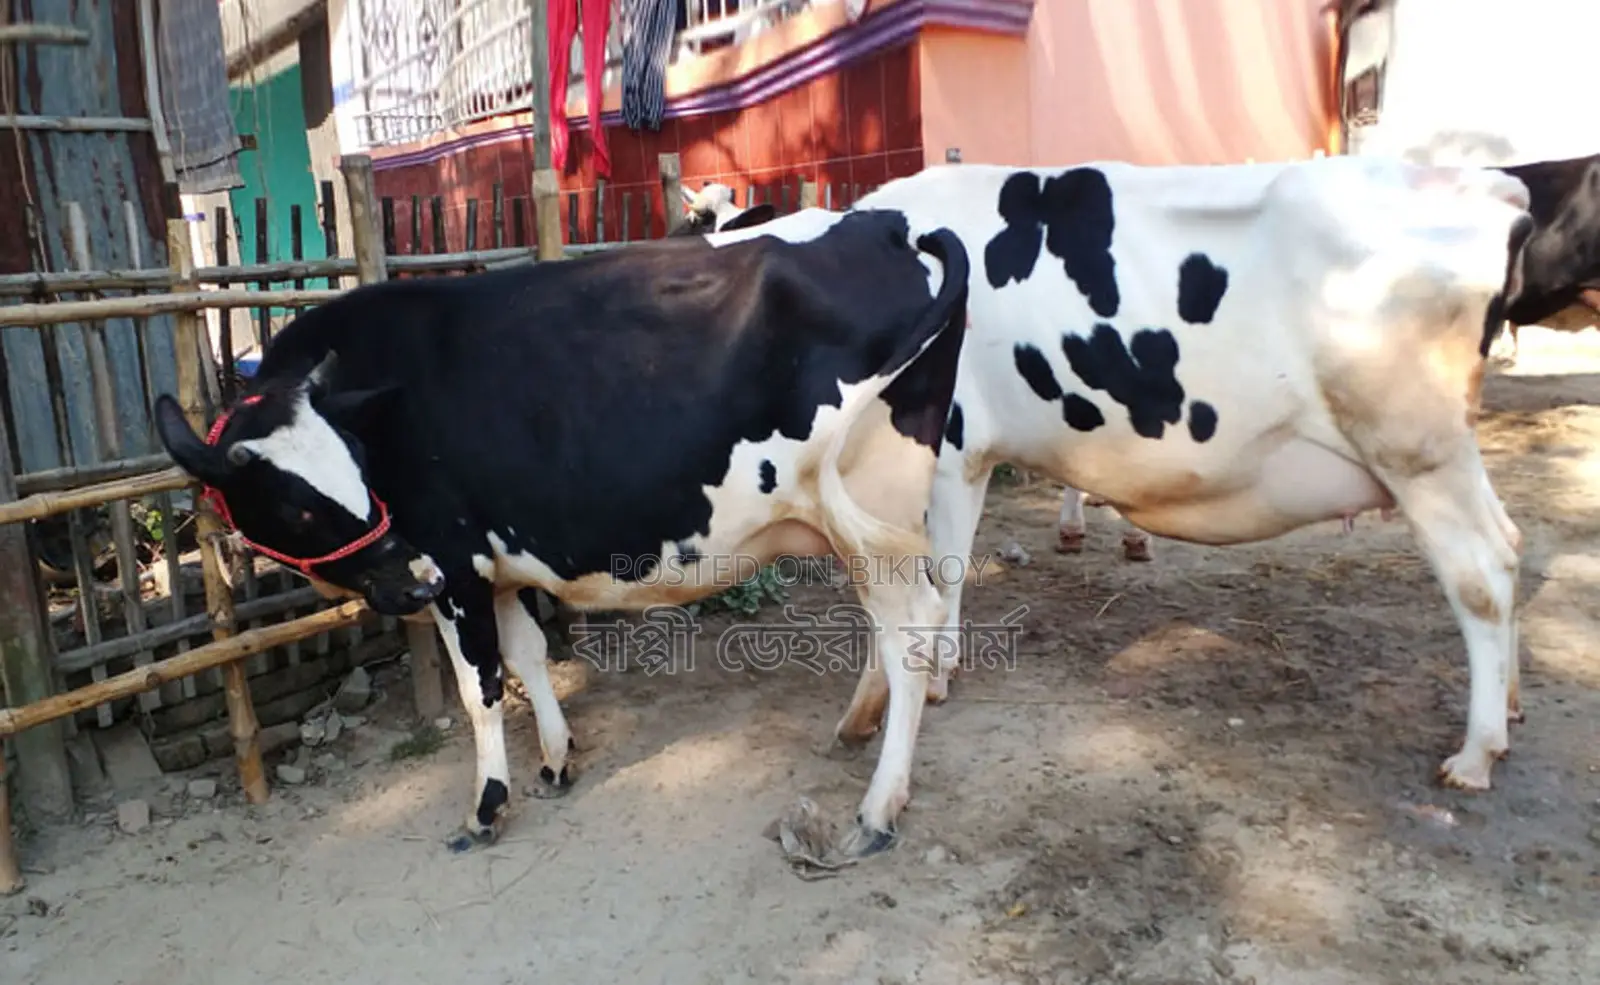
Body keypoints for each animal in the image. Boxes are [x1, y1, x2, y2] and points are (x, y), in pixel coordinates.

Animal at [152, 208, 971, 859]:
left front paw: (486, 807)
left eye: (350, 475)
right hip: (875, 521)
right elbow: (528, 655)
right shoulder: (495, 563)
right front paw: (555, 760)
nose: (412, 579)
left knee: (911, 631)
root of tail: (885, 223)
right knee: (901, 623)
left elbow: (481, 687)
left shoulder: (455, 561)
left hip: (869, 508)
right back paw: (857, 726)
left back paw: (878, 808)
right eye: (298, 504)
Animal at [843, 155, 1534, 794]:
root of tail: (1487, 184)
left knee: (1480, 574)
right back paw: (1511, 707)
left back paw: (1475, 753)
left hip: (1416, 451)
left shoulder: (953, 448)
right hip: (1443, 455)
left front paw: (935, 676)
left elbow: (944, 571)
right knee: (1509, 543)